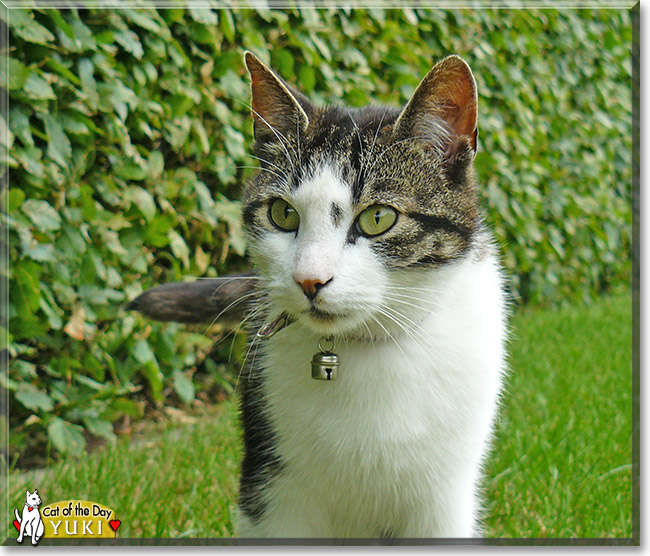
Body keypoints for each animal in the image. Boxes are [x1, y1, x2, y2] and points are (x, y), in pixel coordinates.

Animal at [130, 51, 506, 540]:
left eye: (379, 218)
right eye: (282, 213)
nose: (309, 280)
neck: (365, 350)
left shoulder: (444, 500)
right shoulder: (272, 490)